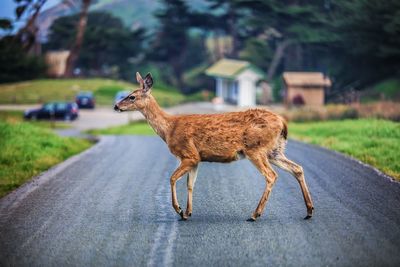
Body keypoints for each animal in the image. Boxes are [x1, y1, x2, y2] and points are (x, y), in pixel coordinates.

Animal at [114, 72, 314, 223]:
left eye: (132, 96)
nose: (116, 106)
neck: (169, 129)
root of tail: (283, 122)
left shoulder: (189, 154)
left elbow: (172, 178)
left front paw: (179, 210)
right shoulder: (196, 159)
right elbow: (190, 184)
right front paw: (188, 213)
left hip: (255, 149)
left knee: (271, 175)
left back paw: (255, 214)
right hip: (275, 150)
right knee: (297, 168)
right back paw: (309, 211)